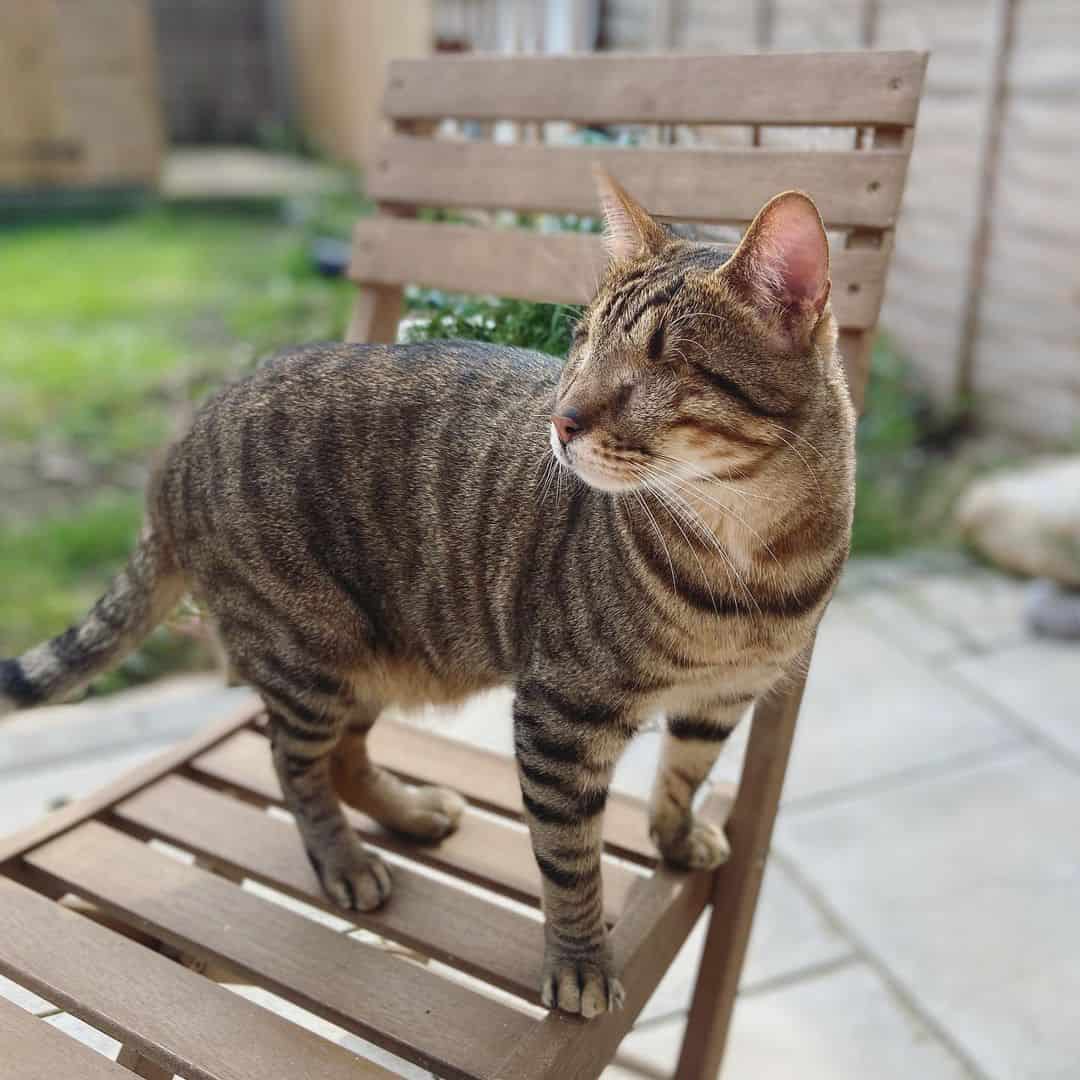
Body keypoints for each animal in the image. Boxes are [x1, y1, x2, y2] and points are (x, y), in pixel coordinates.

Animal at [4, 172, 855, 1015]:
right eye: (581, 345)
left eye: (661, 363)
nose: (560, 420)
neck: (749, 560)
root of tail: (179, 444)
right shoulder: (559, 718)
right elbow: (570, 861)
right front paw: (580, 960)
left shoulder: (724, 699)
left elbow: (685, 776)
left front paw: (676, 840)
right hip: (307, 650)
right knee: (295, 764)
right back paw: (344, 861)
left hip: (375, 657)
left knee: (344, 758)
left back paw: (410, 814)